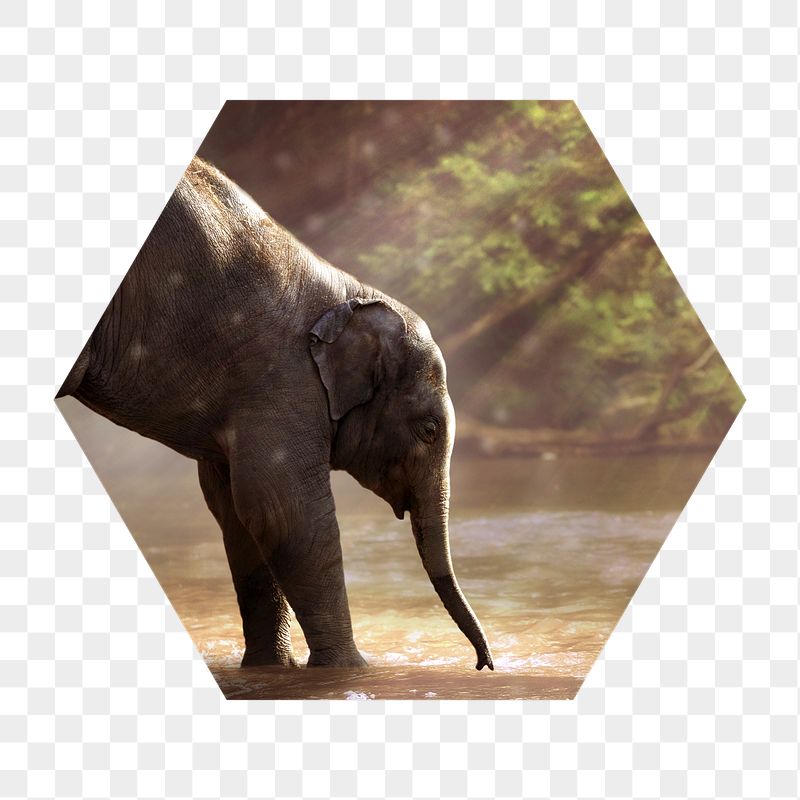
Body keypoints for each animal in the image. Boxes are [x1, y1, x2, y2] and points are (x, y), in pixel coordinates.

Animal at [57, 156, 494, 671]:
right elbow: (283, 509)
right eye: (428, 429)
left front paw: (272, 669)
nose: (484, 664)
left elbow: (237, 512)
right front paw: (351, 670)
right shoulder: (282, 383)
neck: (350, 293)